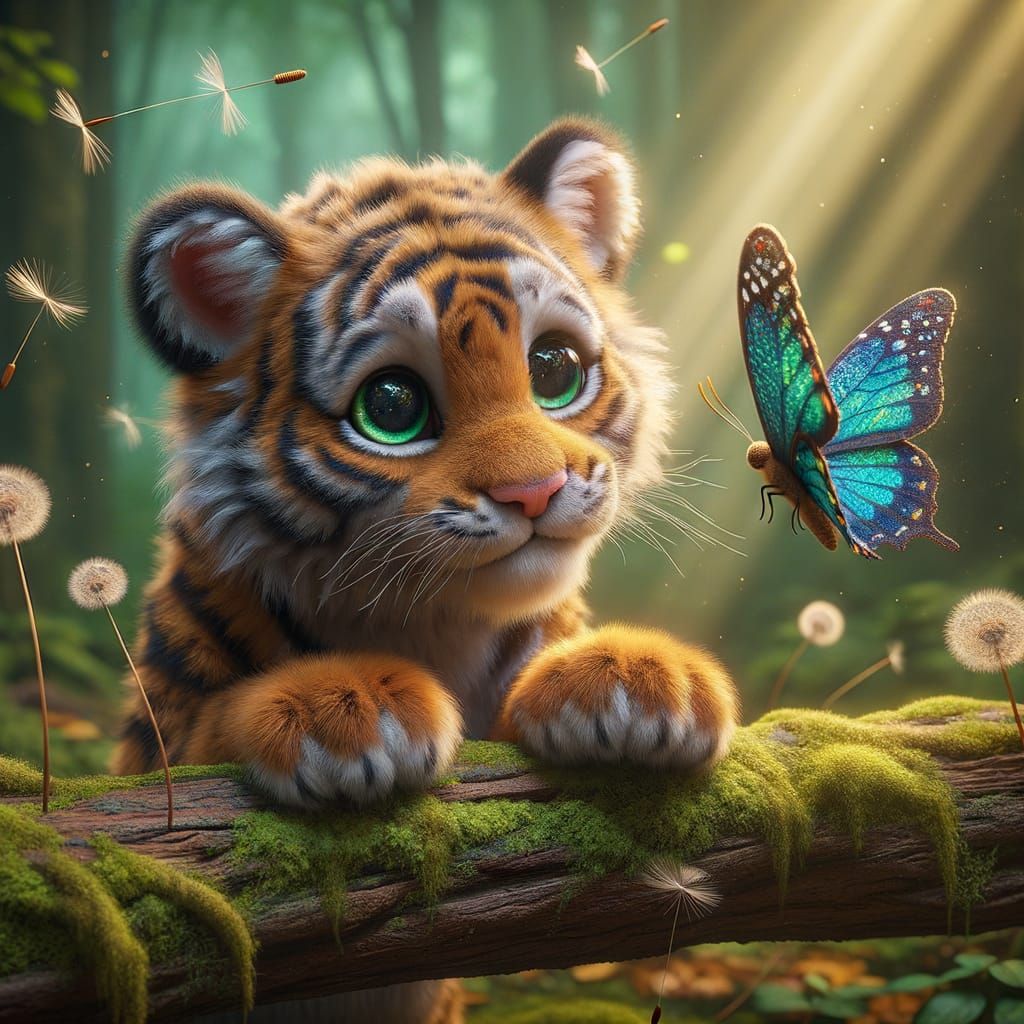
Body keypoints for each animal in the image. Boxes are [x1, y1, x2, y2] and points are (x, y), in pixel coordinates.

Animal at [115, 117, 739, 1023]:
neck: (439, 621)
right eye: (393, 408)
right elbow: (204, 739)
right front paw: (345, 711)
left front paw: (637, 680)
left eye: (554, 369)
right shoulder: (152, 753)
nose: (534, 491)